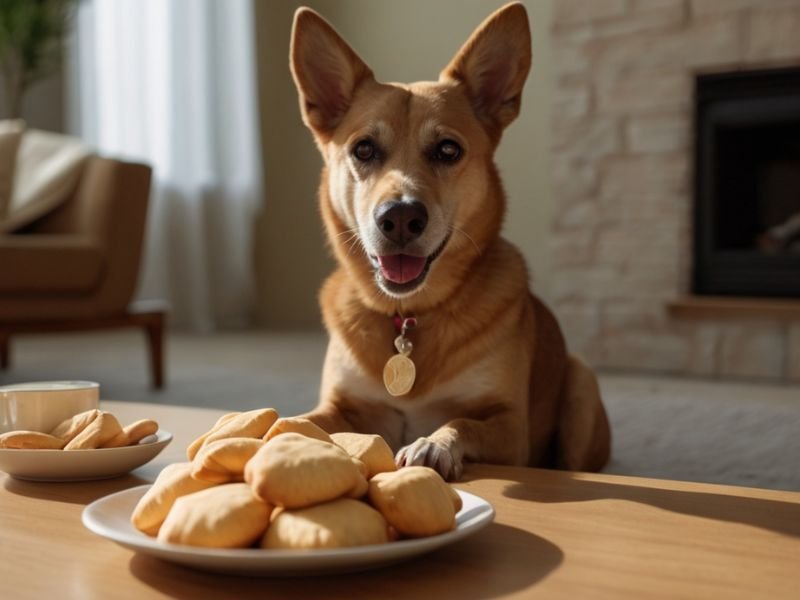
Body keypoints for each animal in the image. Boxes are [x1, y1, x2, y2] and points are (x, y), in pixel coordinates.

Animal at [290, 0, 608, 478]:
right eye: (363, 149)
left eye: (447, 150)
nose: (400, 217)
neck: (408, 317)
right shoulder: (343, 406)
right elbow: (306, 419)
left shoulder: (509, 426)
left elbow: (461, 421)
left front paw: (435, 444)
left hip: (581, 385)